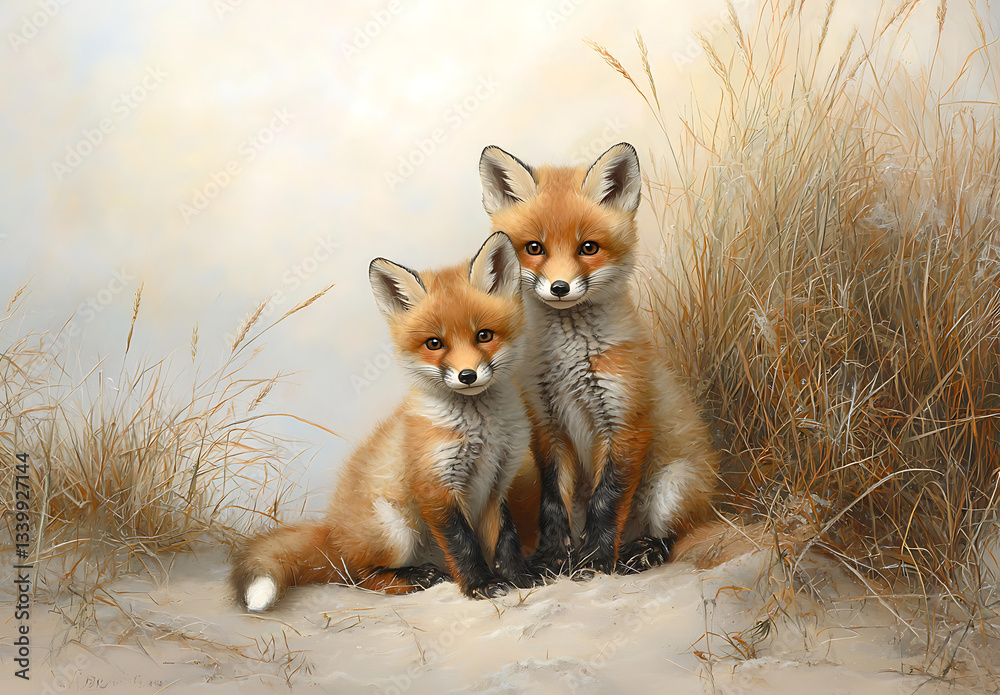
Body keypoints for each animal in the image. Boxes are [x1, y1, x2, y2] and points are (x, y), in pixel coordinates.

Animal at [231, 232, 542, 611]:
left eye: (484, 335)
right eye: (434, 344)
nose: (467, 376)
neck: (482, 432)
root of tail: (332, 531)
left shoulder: (497, 484)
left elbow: (506, 540)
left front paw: (518, 578)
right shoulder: (435, 487)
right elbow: (463, 546)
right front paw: (480, 585)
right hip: (396, 530)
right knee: (357, 577)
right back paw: (414, 578)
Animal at [477, 142, 719, 577]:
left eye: (588, 247)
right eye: (534, 248)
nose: (559, 287)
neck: (570, 361)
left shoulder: (625, 422)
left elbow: (607, 501)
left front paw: (595, 559)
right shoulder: (548, 425)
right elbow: (552, 504)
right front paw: (554, 558)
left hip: (671, 490)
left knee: (675, 535)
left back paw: (639, 552)